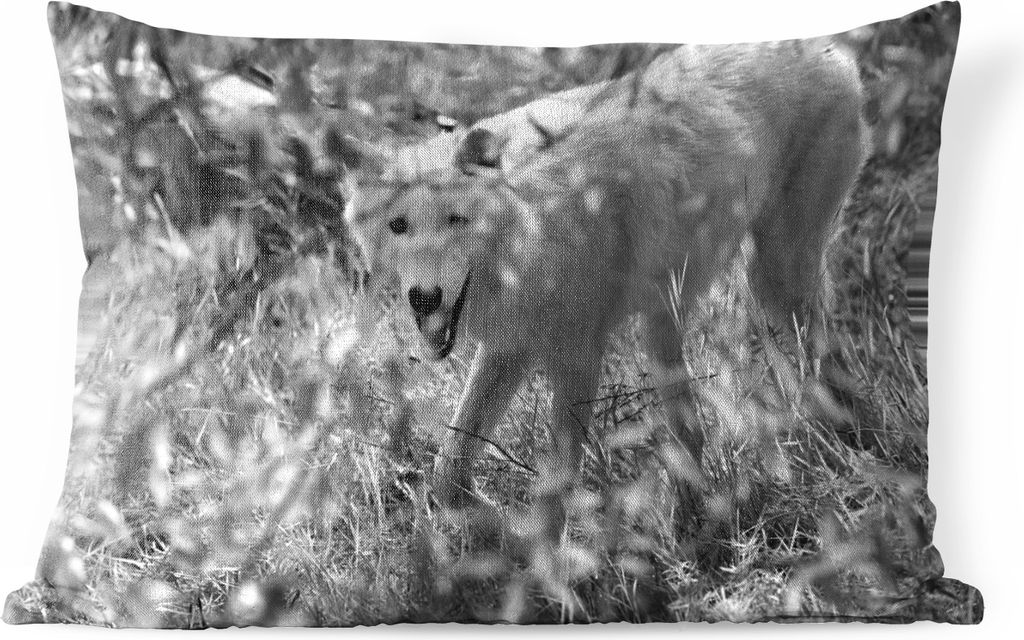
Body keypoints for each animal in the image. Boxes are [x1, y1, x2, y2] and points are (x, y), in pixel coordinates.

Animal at [343, 41, 868, 512]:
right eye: (398, 226)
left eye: (456, 220)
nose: (424, 298)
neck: (536, 228)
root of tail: (830, 50)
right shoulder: (508, 349)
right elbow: (447, 470)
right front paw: (486, 521)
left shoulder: (578, 359)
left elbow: (554, 493)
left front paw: (541, 556)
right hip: (669, 317)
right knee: (694, 428)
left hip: (773, 282)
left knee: (825, 362)